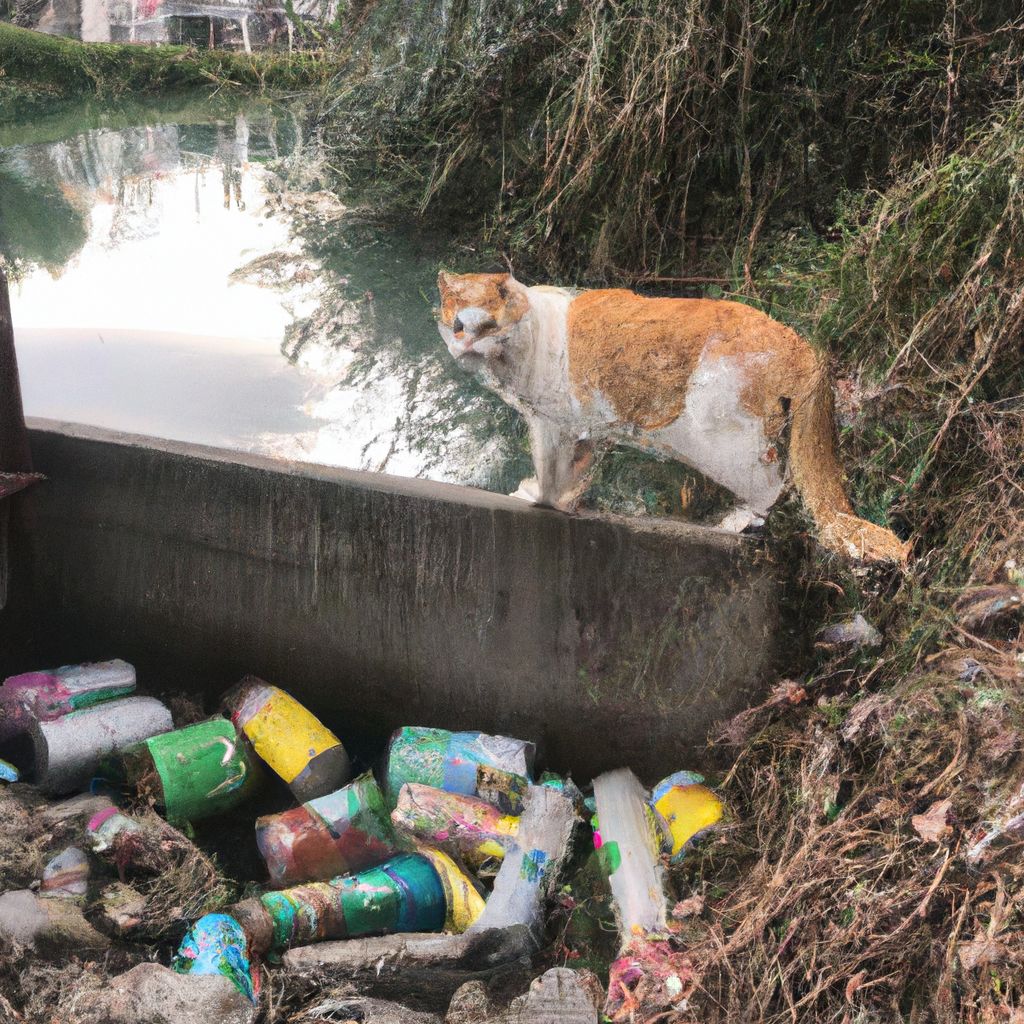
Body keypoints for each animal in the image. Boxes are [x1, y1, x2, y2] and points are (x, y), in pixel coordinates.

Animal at [436, 268, 909, 565]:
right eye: (456, 324)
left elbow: (550, 470)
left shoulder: (552, 425)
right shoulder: (587, 429)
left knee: (775, 481)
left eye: (489, 326)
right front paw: (570, 498)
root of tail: (800, 344)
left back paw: (735, 522)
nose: (466, 343)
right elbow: (579, 469)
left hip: (720, 437)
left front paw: (542, 499)